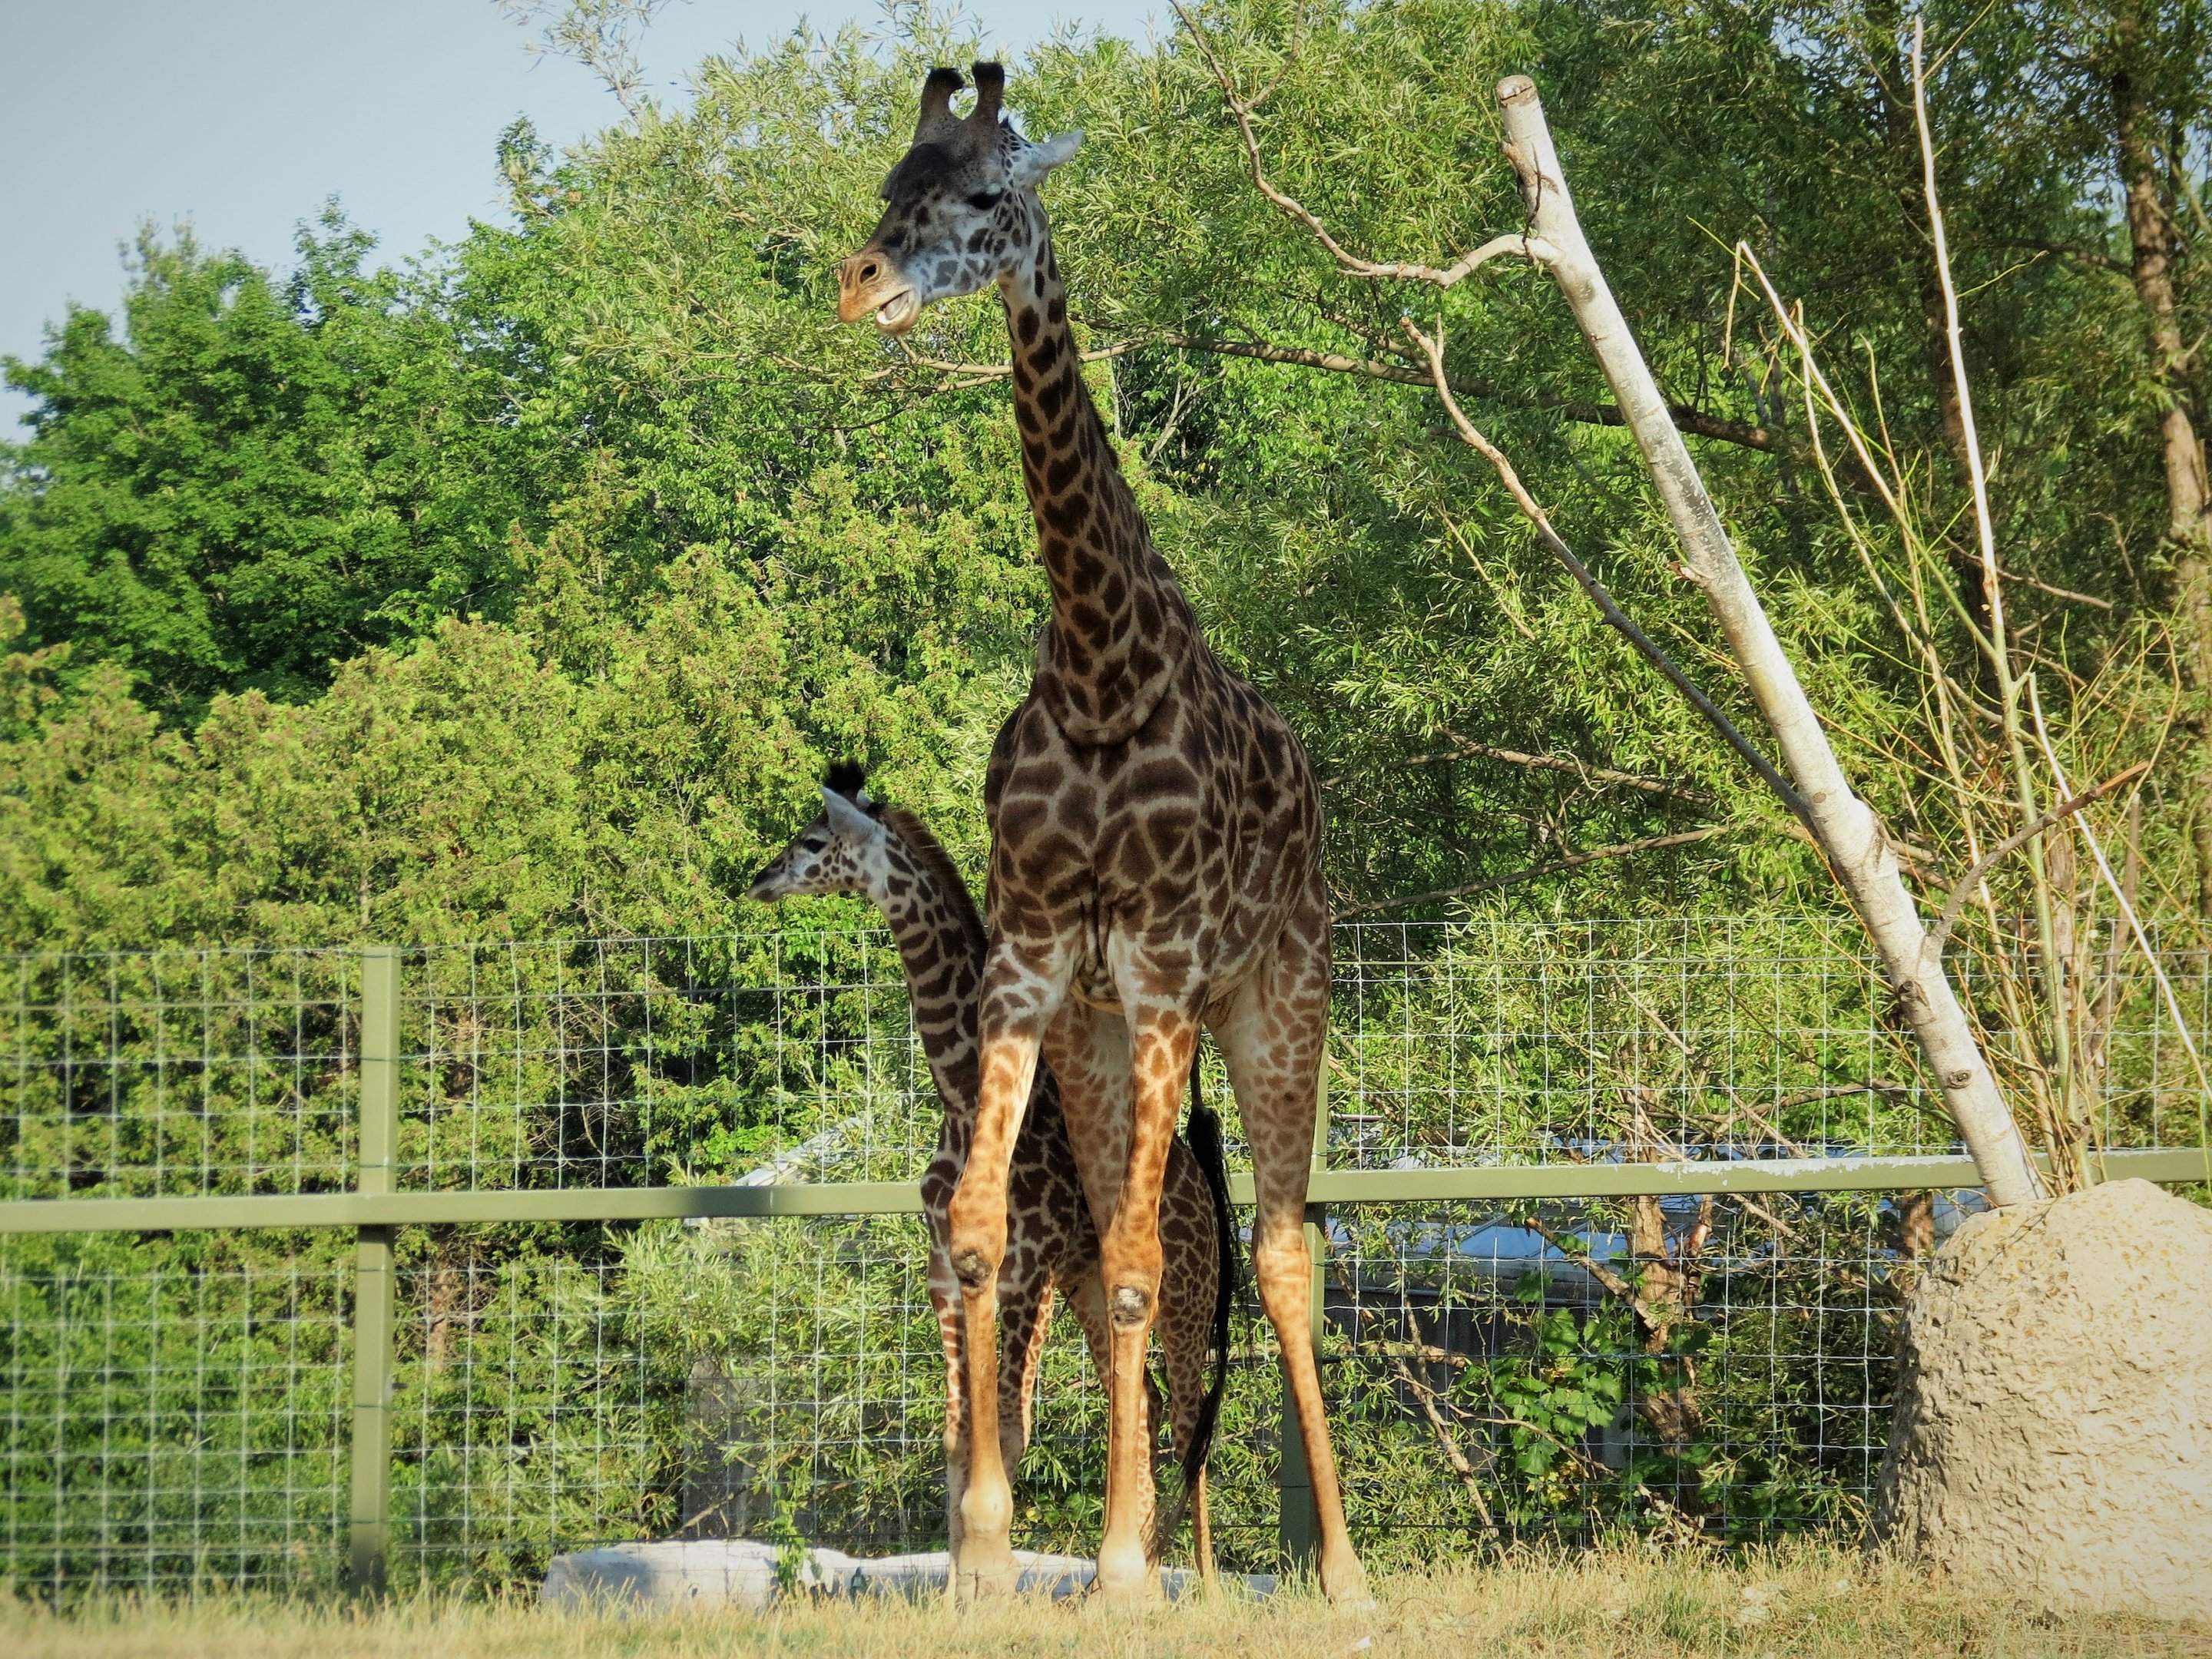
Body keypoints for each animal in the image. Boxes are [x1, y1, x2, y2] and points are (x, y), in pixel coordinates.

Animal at [745, 764, 1235, 1588]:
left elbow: (1009, 1428)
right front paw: (961, 1586)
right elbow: (956, 1436)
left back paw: (1194, 1583)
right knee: (1139, 1402)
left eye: (813, 841)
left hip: (1183, 1292)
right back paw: (1127, 1569)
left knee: (1190, 1420)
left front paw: (992, 1580)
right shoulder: (945, 1268)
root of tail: (1200, 1186)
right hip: (1092, 1286)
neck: (959, 1092)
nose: (760, 880)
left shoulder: (1025, 1263)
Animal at [835, 65, 1368, 1606]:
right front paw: (982, 1554)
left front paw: (1124, 1565)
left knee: (1277, 1246)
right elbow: (979, 1238)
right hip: (1096, 1035)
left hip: (1278, 996)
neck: (1098, 671)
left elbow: (1142, 1258)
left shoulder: (1168, 964)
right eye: (888, 188)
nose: (860, 282)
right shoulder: (1033, 963)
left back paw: (1340, 1574)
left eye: (984, 195)